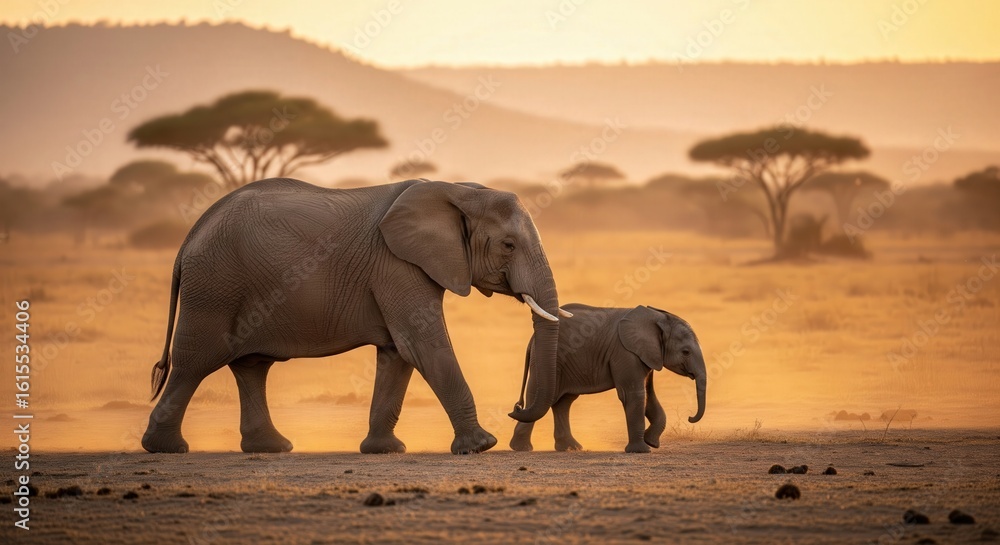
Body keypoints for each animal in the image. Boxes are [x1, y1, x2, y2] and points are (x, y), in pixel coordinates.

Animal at [142, 178, 566, 455]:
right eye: (508, 245)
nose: (515, 407)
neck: (459, 190)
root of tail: (190, 236)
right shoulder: (396, 263)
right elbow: (422, 345)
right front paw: (481, 446)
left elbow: (398, 354)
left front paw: (385, 450)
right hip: (213, 288)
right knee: (194, 363)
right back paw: (166, 448)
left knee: (252, 366)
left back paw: (273, 447)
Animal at [509, 304, 706, 453]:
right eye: (686, 352)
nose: (690, 417)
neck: (658, 317)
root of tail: (532, 339)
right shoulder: (625, 353)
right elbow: (634, 395)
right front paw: (641, 450)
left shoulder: (647, 356)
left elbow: (649, 396)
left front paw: (651, 442)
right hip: (547, 359)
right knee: (537, 396)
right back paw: (522, 448)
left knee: (563, 402)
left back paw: (570, 448)